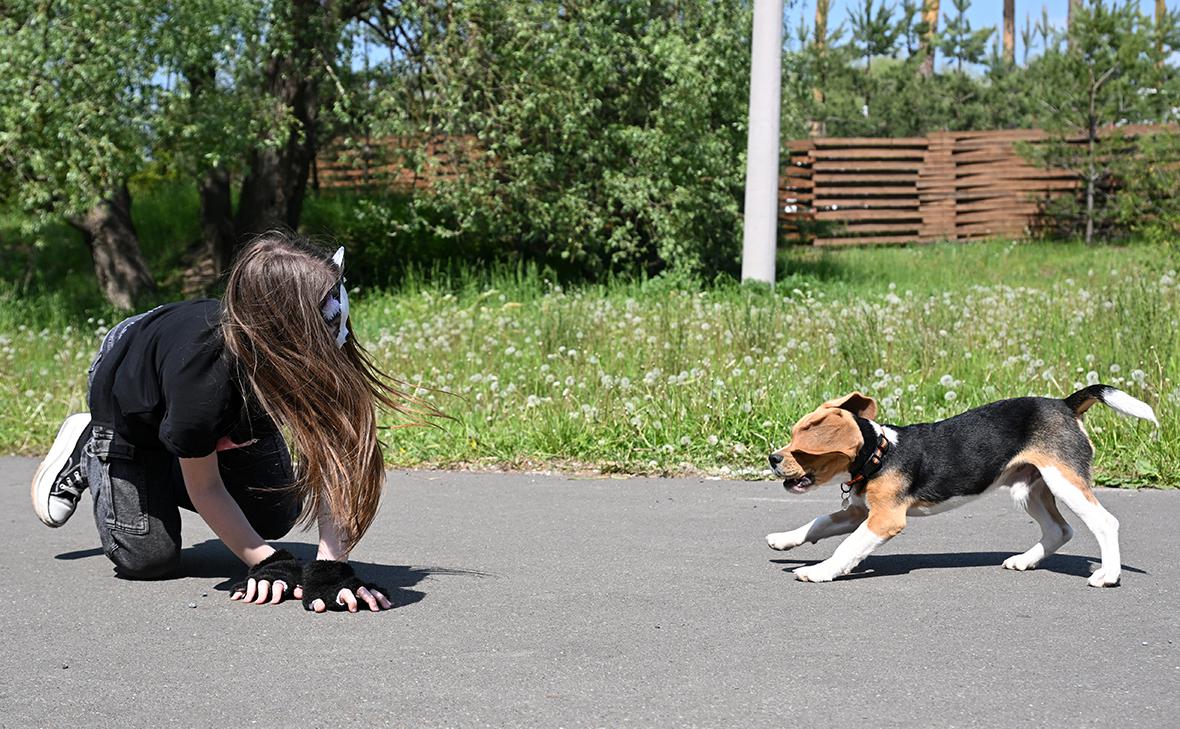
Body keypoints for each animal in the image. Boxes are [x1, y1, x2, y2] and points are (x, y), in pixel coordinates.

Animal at [764, 386, 1161, 585]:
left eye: (802, 448)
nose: (772, 458)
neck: (880, 453)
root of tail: (1065, 404)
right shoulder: (861, 511)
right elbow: (818, 523)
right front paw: (784, 539)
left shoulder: (885, 519)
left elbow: (847, 546)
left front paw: (819, 571)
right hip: (1028, 488)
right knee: (1059, 530)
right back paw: (1024, 561)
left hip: (1063, 480)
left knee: (1105, 523)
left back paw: (1108, 575)